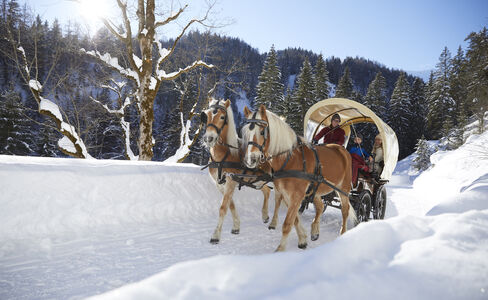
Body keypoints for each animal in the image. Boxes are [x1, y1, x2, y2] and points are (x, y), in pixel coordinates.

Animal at [199, 98, 282, 244]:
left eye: (222, 117)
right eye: (206, 116)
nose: (209, 138)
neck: (225, 155)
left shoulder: (231, 181)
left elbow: (223, 208)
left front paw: (216, 235)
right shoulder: (220, 183)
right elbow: (230, 204)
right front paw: (236, 226)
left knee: (278, 198)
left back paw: (274, 222)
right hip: (257, 180)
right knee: (266, 191)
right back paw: (265, 215)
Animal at [242, 105, 356, 251]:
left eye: (262, 132)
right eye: (246, 132)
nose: (250, 159)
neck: (290, 159)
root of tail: (342, 150)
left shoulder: (296, 196)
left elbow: (287, 224)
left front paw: (280, 249)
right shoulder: (287, 195)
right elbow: (295, 220)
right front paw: (302, 240)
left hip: (343, 190)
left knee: (345, 211)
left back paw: (342, 233)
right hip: (316, 190)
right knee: (320, 207)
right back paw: (315, 231)